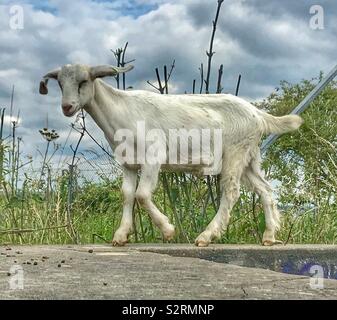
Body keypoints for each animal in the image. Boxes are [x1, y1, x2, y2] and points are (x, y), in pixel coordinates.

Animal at [39, 63, 302, 246]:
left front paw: (167, 230)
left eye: (84, 80)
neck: (121, 111)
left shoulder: (153, 156)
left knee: (231, 192)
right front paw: (121, 235)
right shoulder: (128, 163)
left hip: (235, 153)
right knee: (265, 190)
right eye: (60, 84)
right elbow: (127, 195)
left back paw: (206, 236)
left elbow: (142, 195)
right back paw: (269, 236)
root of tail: (257, 114)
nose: (67, 107)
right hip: (249, 157)